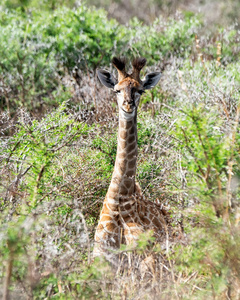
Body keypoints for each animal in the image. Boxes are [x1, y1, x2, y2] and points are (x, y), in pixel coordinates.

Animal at [93, 57, 170, 258]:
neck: (119, 201)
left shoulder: (145, 256)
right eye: (117, 90)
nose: (128, 105)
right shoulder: (100, 255)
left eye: (140, 90)